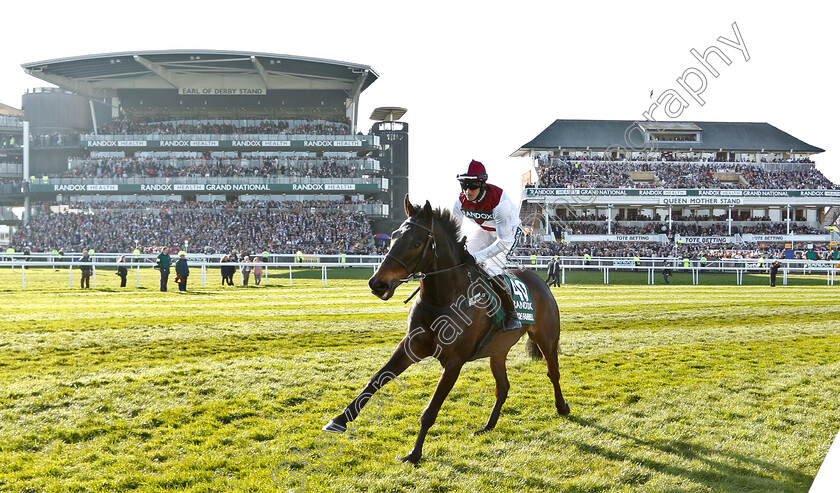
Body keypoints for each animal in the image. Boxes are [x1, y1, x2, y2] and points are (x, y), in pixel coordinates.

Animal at [322, 195, 572, 462]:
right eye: (393, 236)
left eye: (417, 243)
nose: (377, 284)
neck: (443, 298)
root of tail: (539, 280)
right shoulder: (411, 346)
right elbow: (377, 379)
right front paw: (339, 420)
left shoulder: (454, 361)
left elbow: (431, 409)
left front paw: (414, 453)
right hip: (498, 350)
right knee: (503, 387)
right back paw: (488, 426)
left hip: (546, 338)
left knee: (553, 372)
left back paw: (562, 407)